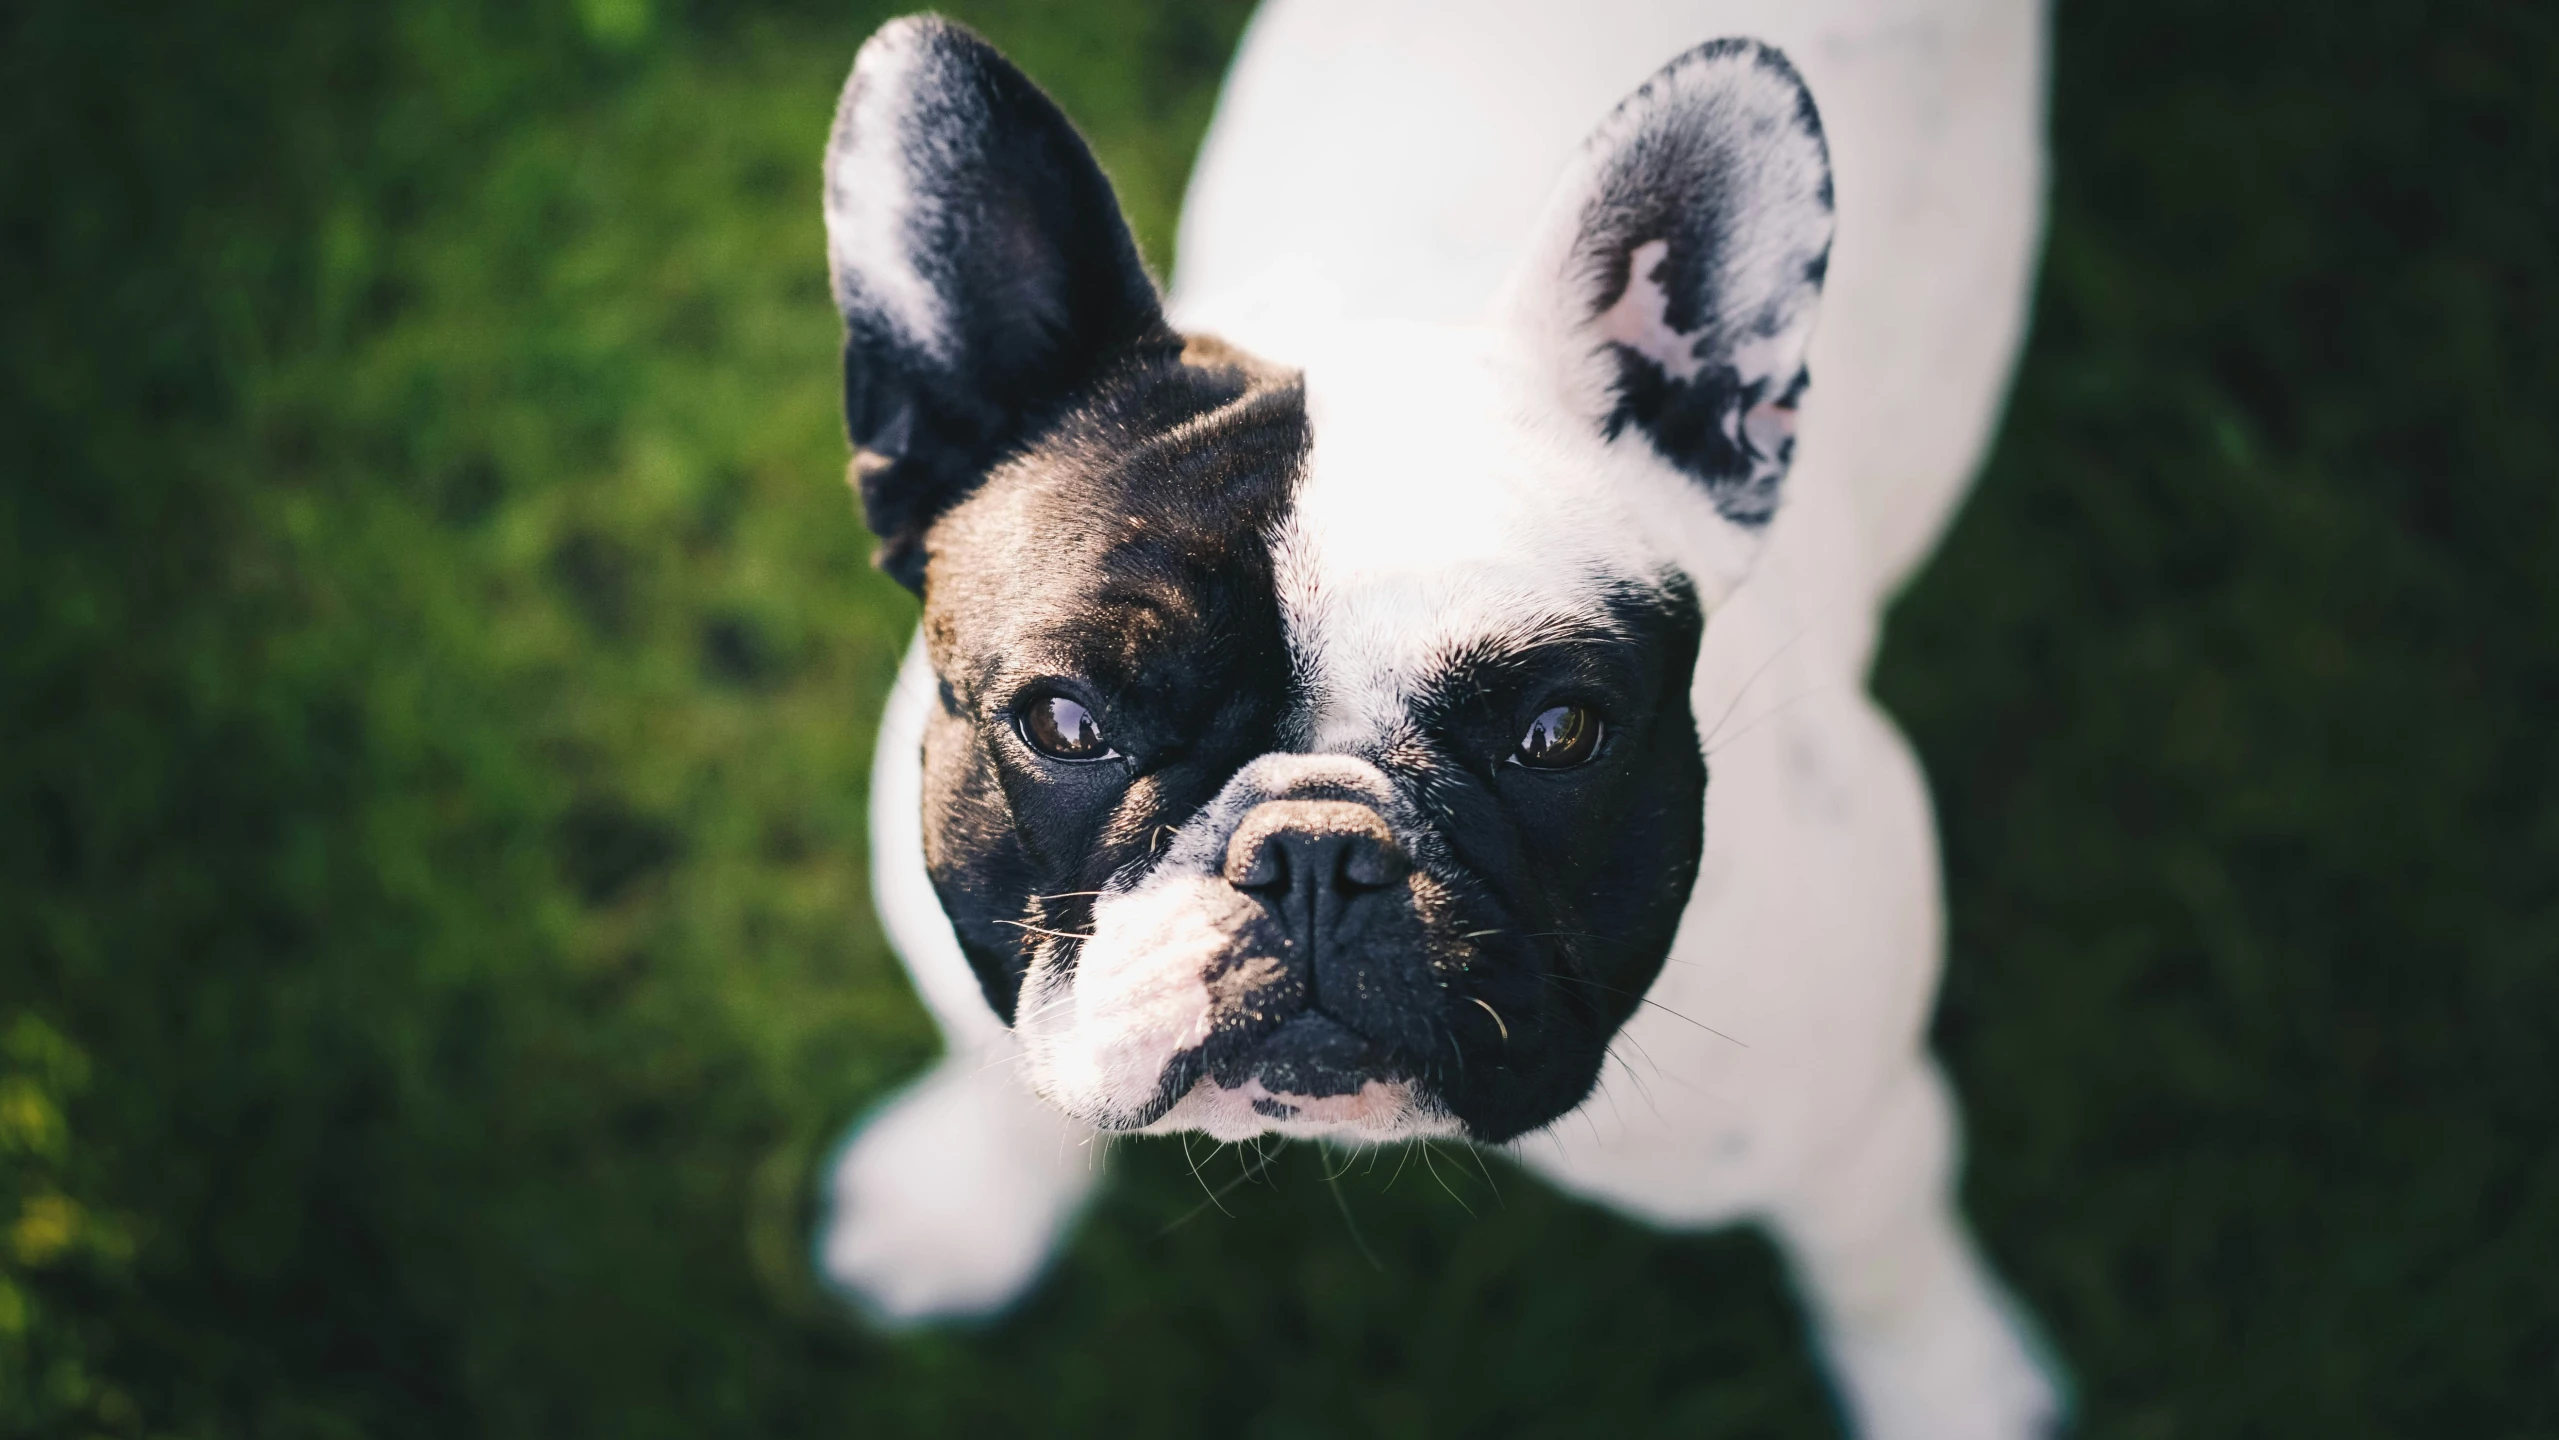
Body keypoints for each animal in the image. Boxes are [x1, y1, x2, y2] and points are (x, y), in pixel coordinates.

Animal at [818, 5, 2057, 1432]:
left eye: (1559, 733)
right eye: (1065, 722)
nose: (1312, 852)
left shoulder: (1847, 1118)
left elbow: (1883, 1256)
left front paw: (1951, 1389)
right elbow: (998, 1072)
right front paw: (963, 1211)